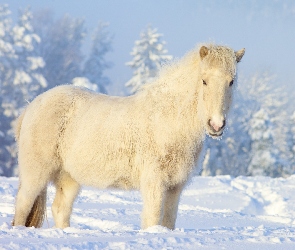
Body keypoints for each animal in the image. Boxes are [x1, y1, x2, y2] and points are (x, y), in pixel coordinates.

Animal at [12, 44, 245, 229]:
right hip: (36, 173)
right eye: (204, 81)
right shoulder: (154, 183)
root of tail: (32, 105)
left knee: (60, 209)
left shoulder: (174, 188)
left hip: (69, 178)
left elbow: (168, 222)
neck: (167, 119)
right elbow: (152, 219)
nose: (216, 125)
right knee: (22, 206)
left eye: (232, 81)